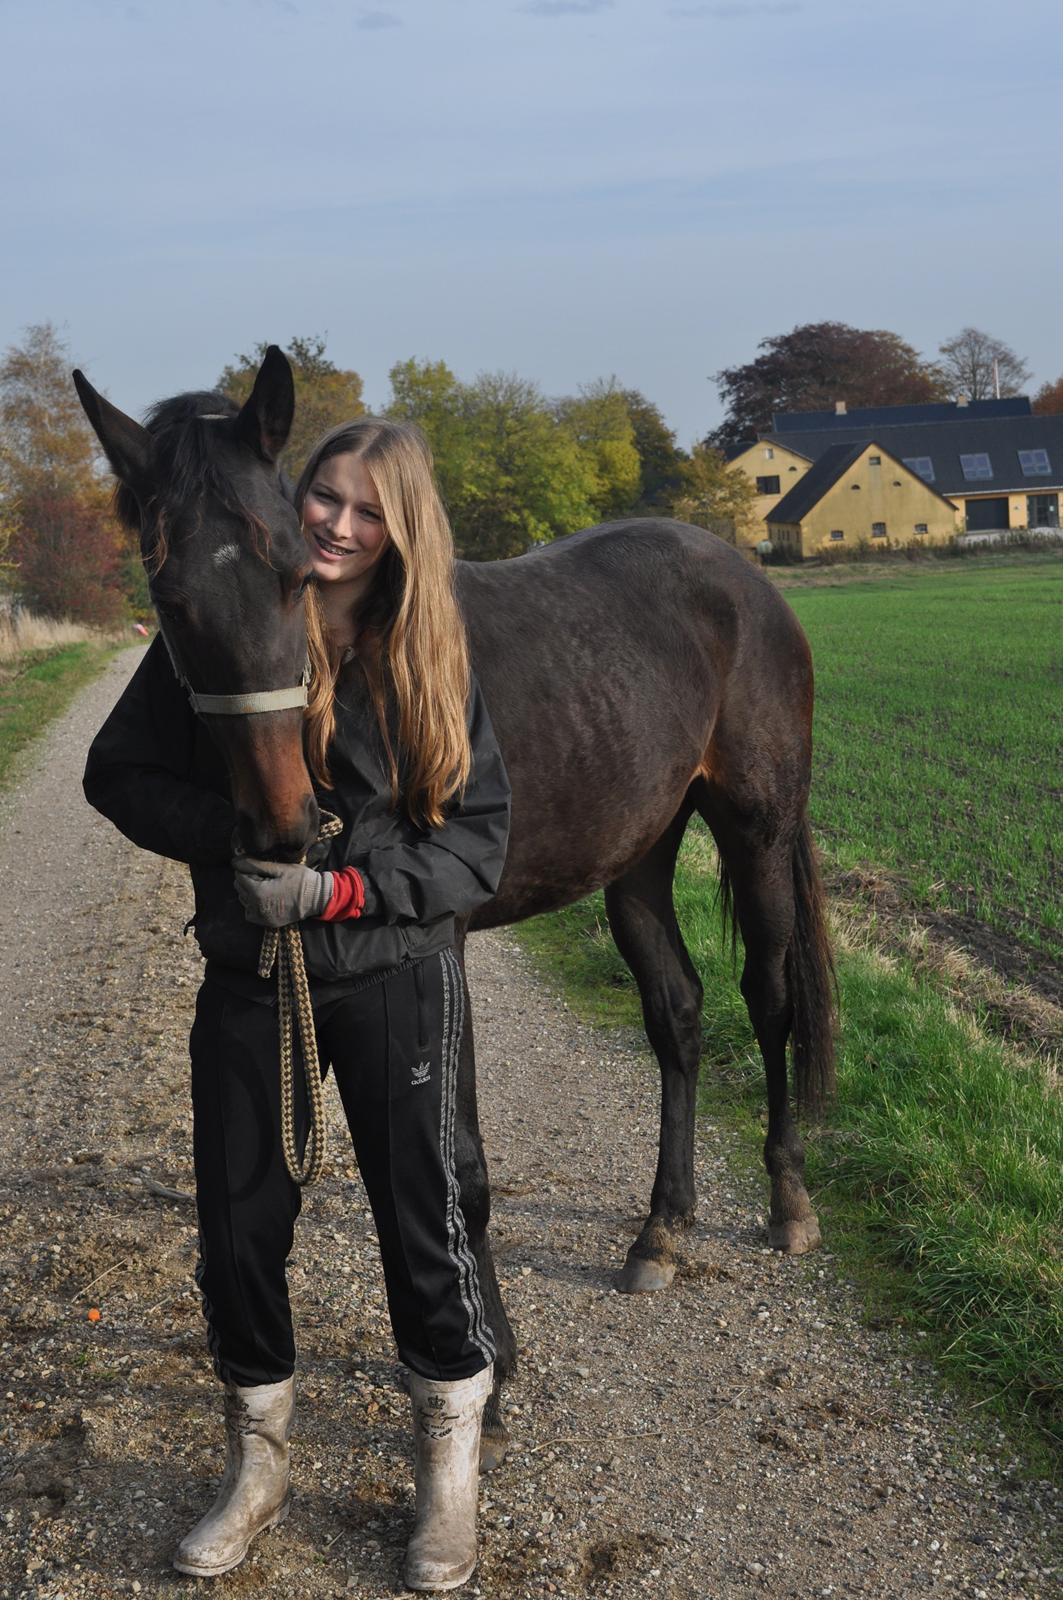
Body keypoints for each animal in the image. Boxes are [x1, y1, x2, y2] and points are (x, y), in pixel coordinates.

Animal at [76, 347, 838, 1465]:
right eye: (168, 597)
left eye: (294, 572)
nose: (282, 827)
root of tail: (741, 575)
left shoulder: (448, 948)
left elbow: (457, 1169)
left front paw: (494, 1368)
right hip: (638, 855)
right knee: (679, 1016)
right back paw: (661, 1229)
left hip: (758, 826)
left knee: (770, 998)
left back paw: (786, 1199)